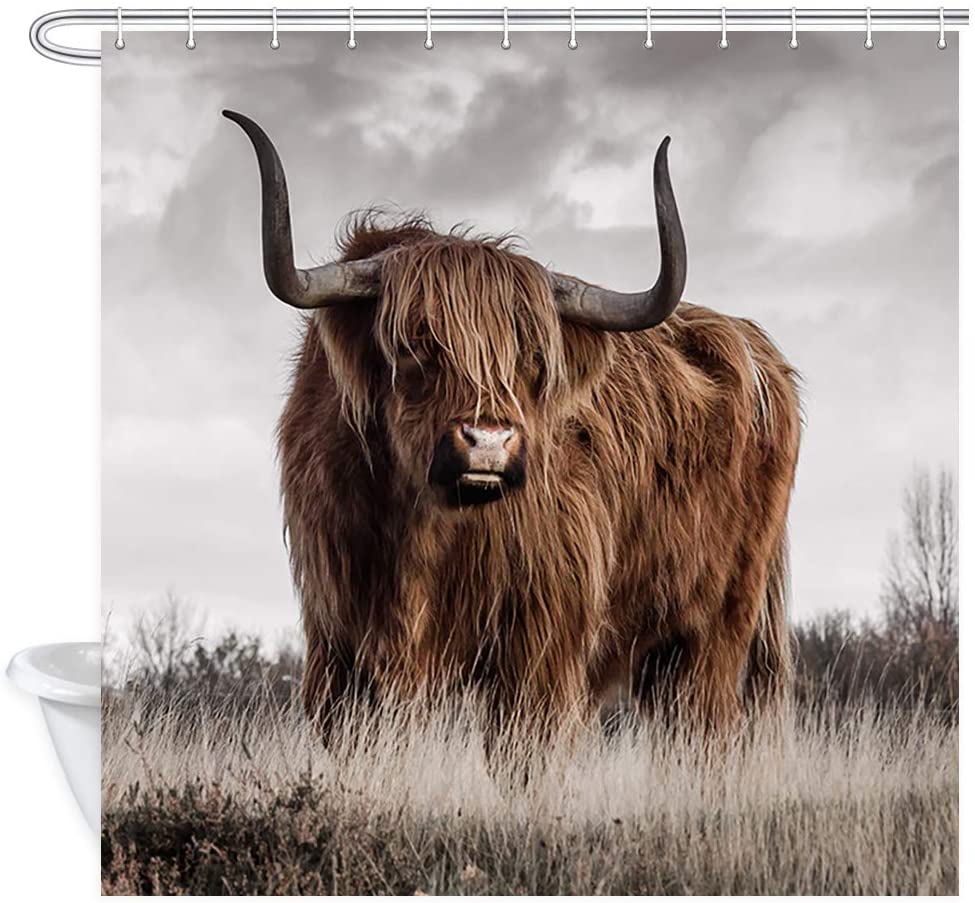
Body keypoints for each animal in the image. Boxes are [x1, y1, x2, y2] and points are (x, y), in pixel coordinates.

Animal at [223, 109, 801, 739]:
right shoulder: (340, 645)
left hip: (714, 631)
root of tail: (757, 347)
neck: (421, 535)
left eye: (533, 357)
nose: (489, 442)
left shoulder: (541, 646)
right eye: (415, 344)